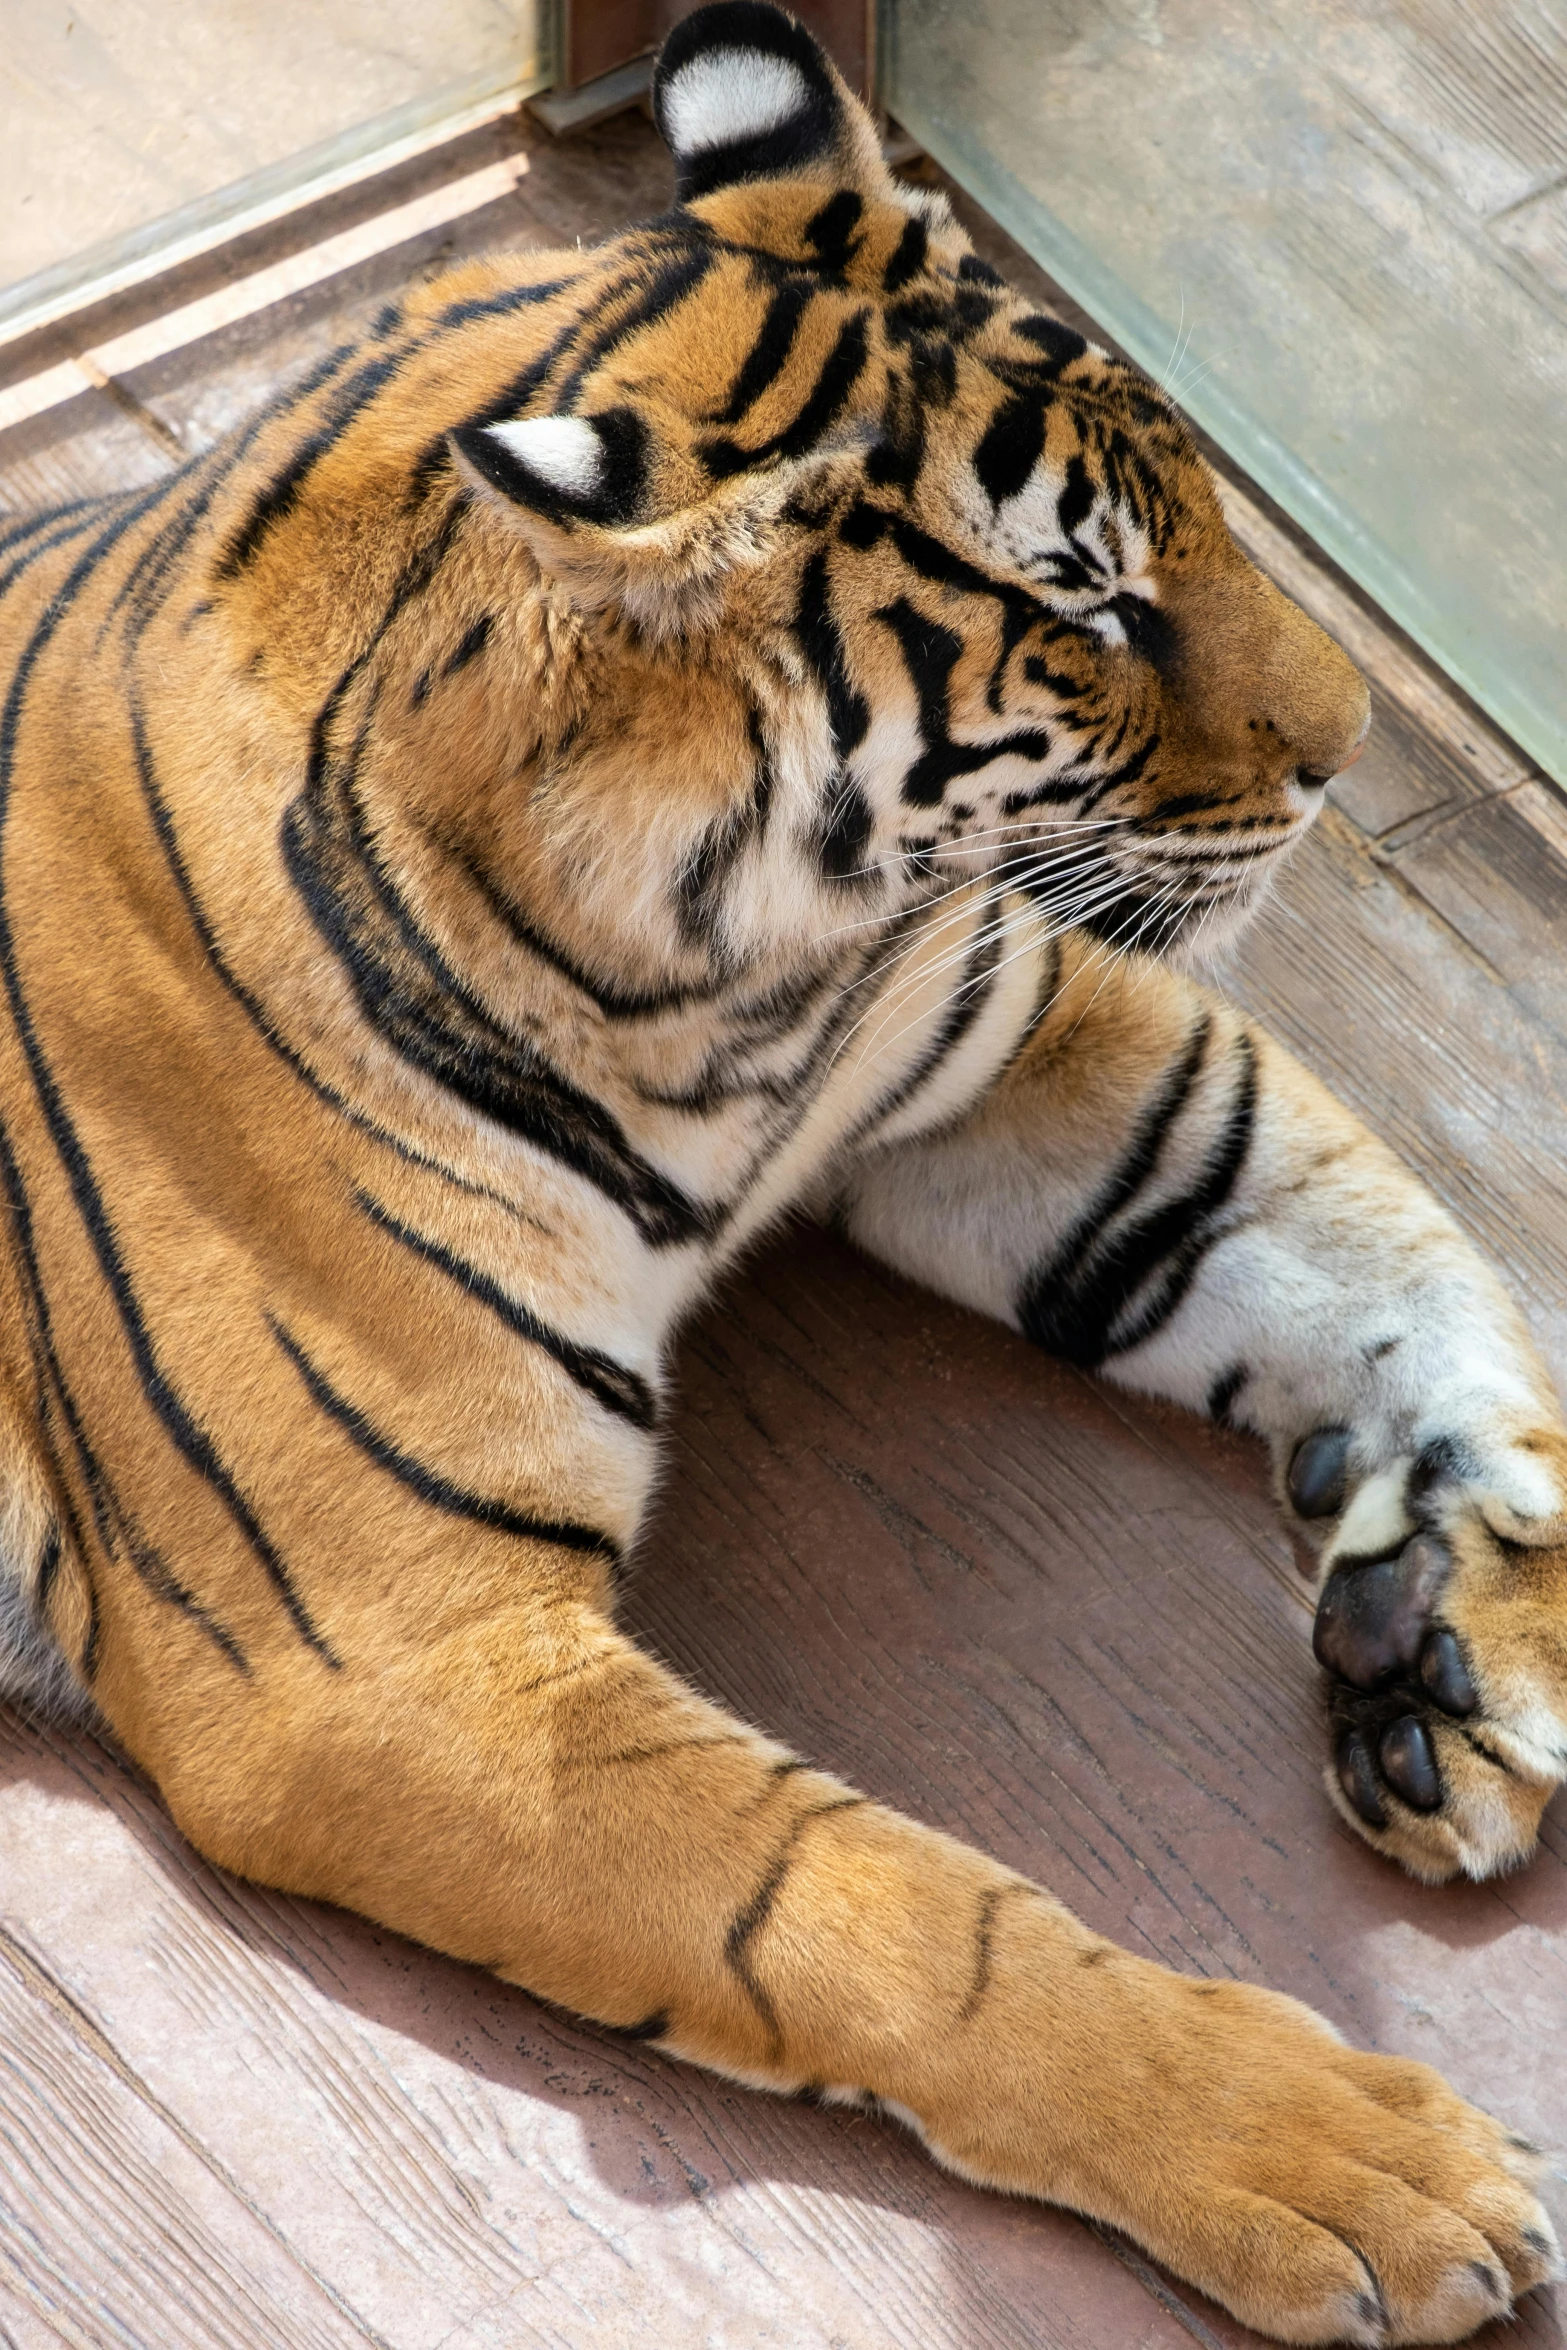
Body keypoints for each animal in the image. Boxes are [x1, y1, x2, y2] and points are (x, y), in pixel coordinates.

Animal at [3, 4, 1567, 2331]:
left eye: (1199, 505)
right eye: (1086, 606)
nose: (1355, 743)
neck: (724, 999)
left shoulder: (1030, 1060)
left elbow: (1419, 1267)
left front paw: (1464, 1652)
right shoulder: (386, 1655)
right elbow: (884, 1910)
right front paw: (1349, 2162)